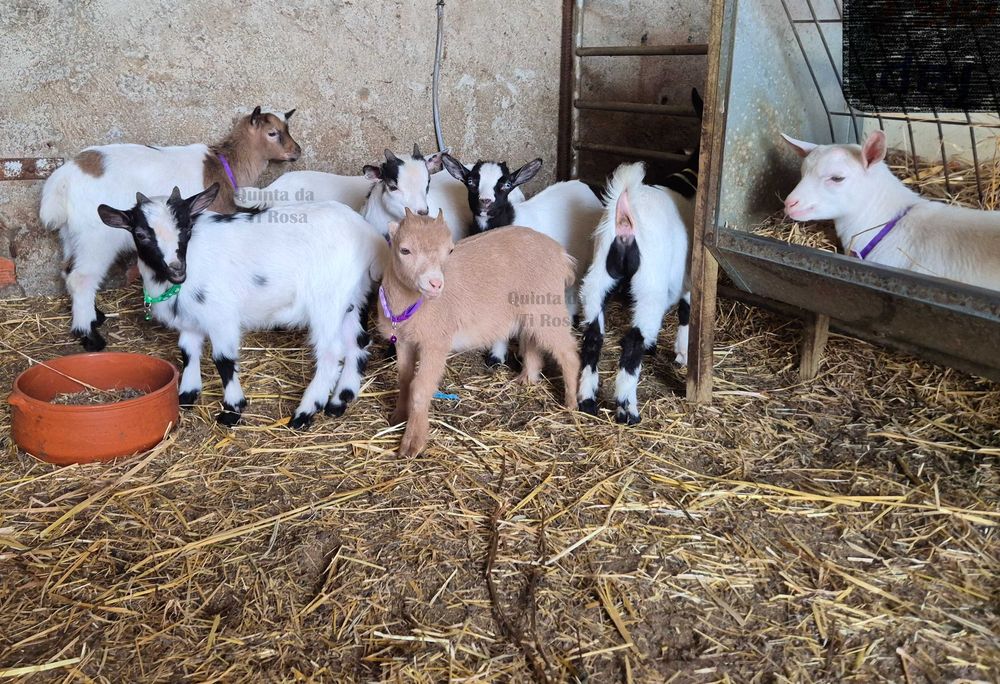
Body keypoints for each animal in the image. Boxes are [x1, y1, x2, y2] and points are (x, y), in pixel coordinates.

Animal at [40, 106, 301, 352]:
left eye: (287, 128)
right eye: (272, 133)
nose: (297, 151)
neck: (224, 167)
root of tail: (62, 181)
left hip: (72, 235)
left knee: (67, 270)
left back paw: (95, 317)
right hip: (96, 237)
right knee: (81, 278)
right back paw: (89, 335)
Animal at [96, 184, 386, 429]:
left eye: (187, 228)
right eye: (140, 234)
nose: (178, 270)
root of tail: (369, 235)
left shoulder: (221, 316)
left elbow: (223, 361)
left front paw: (232, 409)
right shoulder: (190, 318)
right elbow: (188, 352)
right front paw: (187, 394)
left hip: (327, 301)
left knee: (331, 352)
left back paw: (305, 412)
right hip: (352, 298)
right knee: (358, 342)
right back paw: (339, 400)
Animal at [378, 209, 580, 457]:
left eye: (450, 250)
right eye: (405, 250)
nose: (436, 283)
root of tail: (562, 254)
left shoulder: (436, 343)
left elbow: (420, 387)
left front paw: (412, 444)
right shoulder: (404, 341)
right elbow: (404, 378)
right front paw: (397, 417)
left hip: (548, 308)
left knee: (568, 352)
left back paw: (571, 403)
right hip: (531, 312)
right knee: (532, 341)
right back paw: (527, 379)